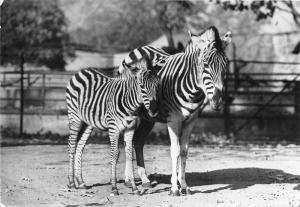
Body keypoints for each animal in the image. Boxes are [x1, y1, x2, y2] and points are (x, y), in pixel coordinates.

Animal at [65, 66, 159, 196]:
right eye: (141, 86)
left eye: (157, 86)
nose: (154, 110)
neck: (130, 104)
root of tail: (81, 71)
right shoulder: (113, 128)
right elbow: (114, 154)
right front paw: (114, 187)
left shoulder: (130, 129)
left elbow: (129, 155)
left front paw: (134, 188)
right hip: (74, 117)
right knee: (72, 145)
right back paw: (71, 182)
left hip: (88, 123)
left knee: (80, 146)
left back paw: (81, 182)